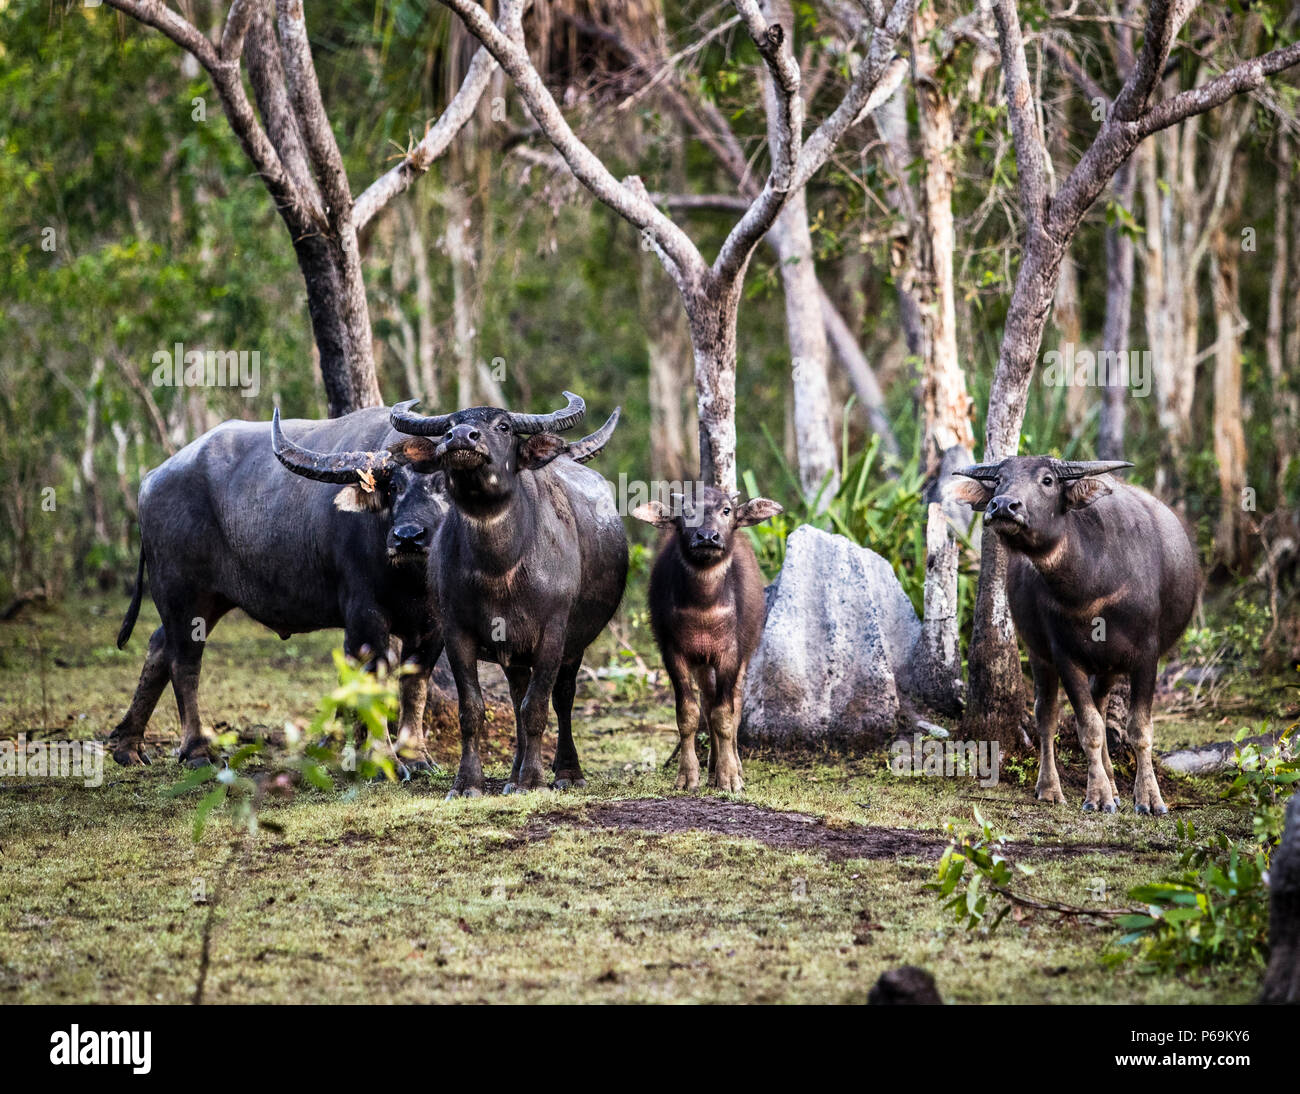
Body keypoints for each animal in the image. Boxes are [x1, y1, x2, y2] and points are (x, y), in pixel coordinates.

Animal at [107, 402, 452, 769]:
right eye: (393, 487)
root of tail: (151, 480)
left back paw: (128, 746)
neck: (412, 579)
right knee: (184, 660)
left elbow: (415, 684)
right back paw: (197, 750)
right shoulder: (365, 614)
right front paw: (381, 758)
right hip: (182, 594)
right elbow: (371, 680)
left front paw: (416, 757)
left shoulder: (434, 624)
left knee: (160, 645)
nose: (407, 537)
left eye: (446, 483)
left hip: (209, 599)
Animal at [387, 389, 626, 795]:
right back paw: (513, 777)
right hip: (513, 653)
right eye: (450, 425)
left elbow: (538, 708)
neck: (500, 568)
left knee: (561, 698)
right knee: (516, 696)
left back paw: (566, 772)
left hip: (574, 643)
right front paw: (468, 782)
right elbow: (473, 709)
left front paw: (534, 780)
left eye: (503, 426)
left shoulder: (553, 632)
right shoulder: (456, 632)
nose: (461, 438)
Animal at [956, 457, 1196, 815]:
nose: (1003, 506)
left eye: (1048, 480)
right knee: (1047, 717)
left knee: (1101, 702)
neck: (1094, 584)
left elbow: (1139, 729)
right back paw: (1051, 788)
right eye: (998, 479)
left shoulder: (1146, 655)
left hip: (1110, 665)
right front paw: (1098, 796)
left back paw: (1114, 785)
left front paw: (1149, 799)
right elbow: (1089, 728)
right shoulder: (1064, 656)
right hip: (1040, 655)